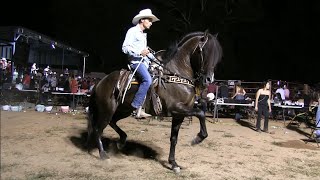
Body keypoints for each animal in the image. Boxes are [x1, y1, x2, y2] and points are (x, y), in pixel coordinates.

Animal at [87, 30, 222, 172]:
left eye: (217, 56)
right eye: (205, 52)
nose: (209, 79)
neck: (176, 74)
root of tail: (100, 82)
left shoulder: (179, 115)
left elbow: (174, 138)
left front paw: (174, 164)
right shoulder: (176, 108)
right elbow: (200, 113)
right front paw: (197, 139)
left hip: (123, 110)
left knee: (112, 122)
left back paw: (121, 141)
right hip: (107, 110)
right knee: (98, 129)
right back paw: (103, 155)